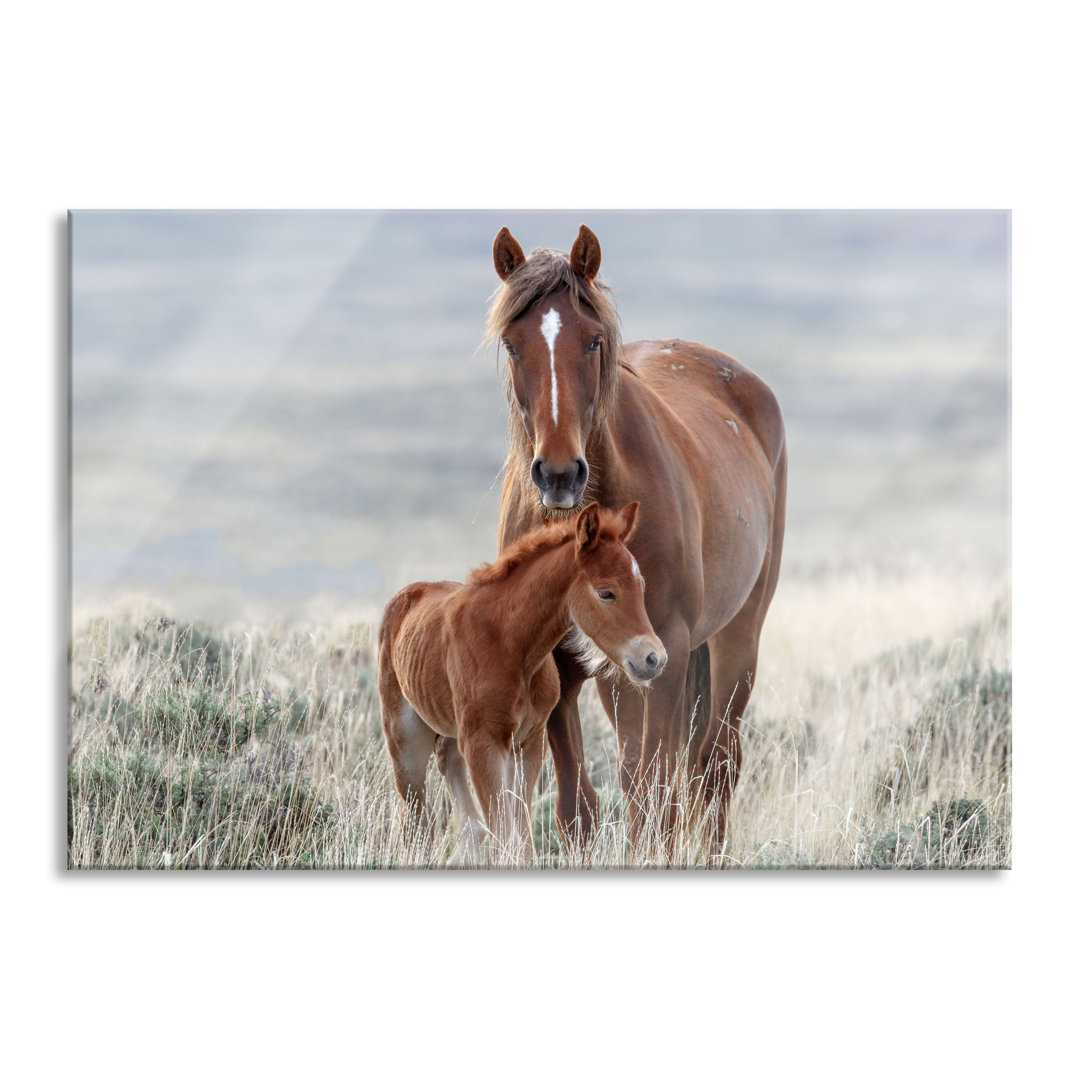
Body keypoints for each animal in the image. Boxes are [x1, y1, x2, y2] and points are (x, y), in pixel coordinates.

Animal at [380, 501, 665, 864]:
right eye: (606, 593)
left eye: (641, 587)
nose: (654, 659)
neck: (512, 646)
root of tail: (407, 594)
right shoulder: (483, 742)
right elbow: (503, 835)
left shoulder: (528, 743)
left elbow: (520, 836)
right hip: (404, 739)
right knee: (415, 815)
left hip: (452, 729)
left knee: (450, 770)